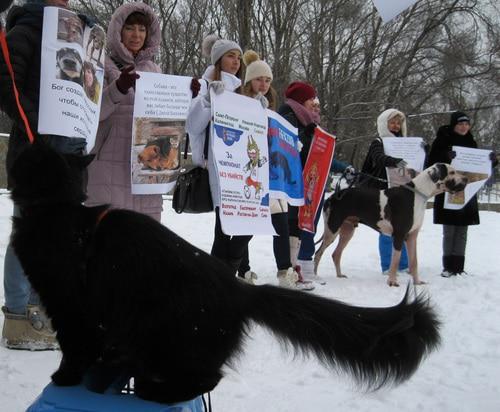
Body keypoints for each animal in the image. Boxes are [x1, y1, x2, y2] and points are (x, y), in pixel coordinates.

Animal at [9, 143, 442, 404]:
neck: (58, 210)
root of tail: (239, 289)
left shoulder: (69, 305)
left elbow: (75, 349)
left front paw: (65, 378)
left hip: (166, 335)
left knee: (207, 378)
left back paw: (154, 391)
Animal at [314, 163, 466, 286]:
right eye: (452, 172)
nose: (466, 179)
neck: (417, 195)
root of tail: (332, 197)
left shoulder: (412, 237)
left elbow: (414, 262)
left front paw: (417, 282)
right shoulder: (399, 235)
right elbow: (396, 259)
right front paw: (392, 282)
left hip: (347, 231)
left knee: (336, 254)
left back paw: (339, 275)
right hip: (332, 230)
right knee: (318, 253)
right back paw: (315, 276)